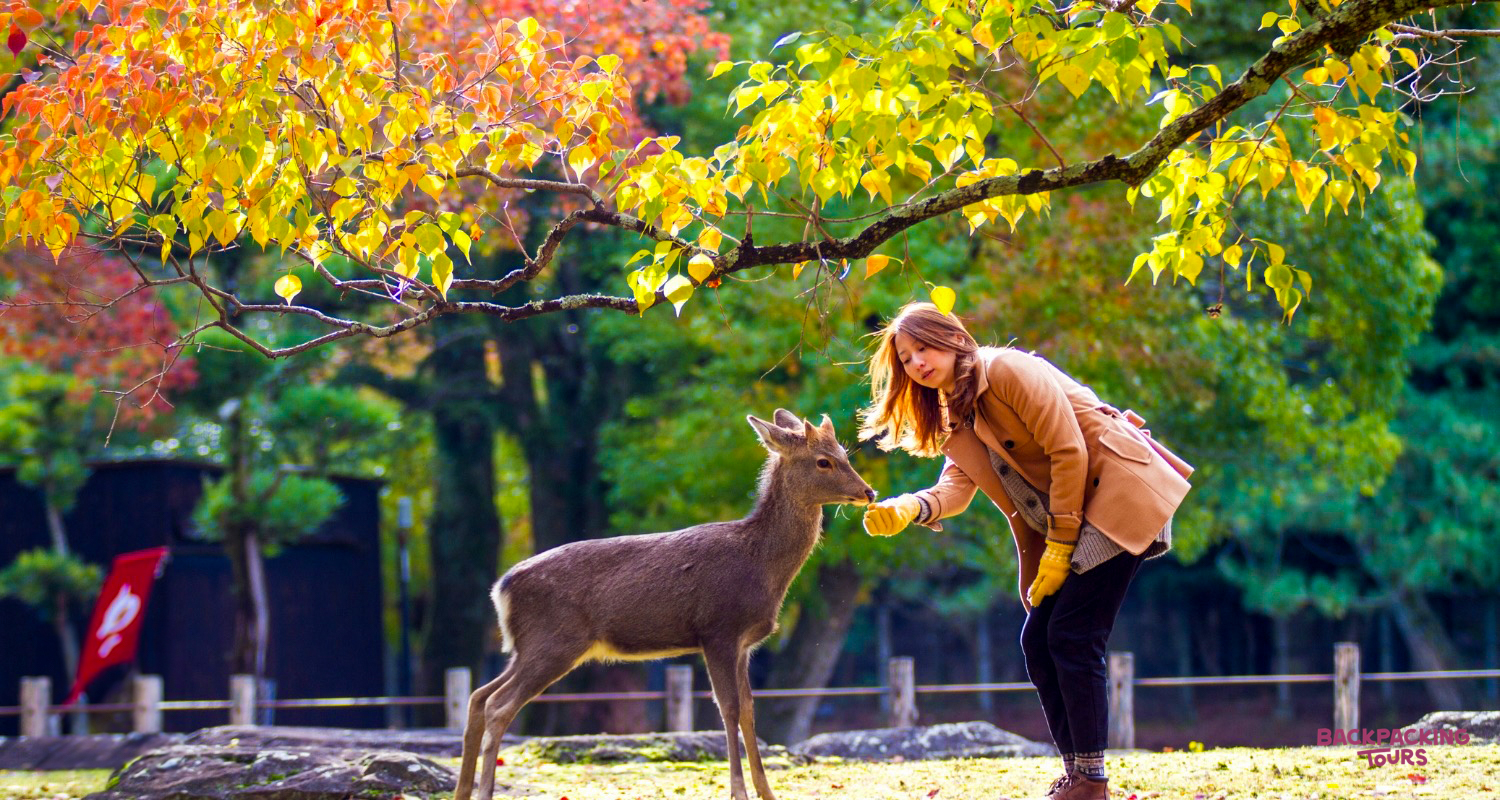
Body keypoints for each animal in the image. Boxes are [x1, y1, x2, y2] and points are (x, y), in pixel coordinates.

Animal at [453, 409, 877, 800]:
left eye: (845, 453)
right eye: (823, 461)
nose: (869, 492)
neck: (762, 566)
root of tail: (501, 588)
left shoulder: (744, 644)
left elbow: (750, 710)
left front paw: (767, 792)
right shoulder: (718, 630)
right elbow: (729, 709)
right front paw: (738, 791)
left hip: (528, 647)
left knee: (478, 697)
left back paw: (462, 791)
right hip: (554, 641)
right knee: (498, 706)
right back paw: (485, 791)